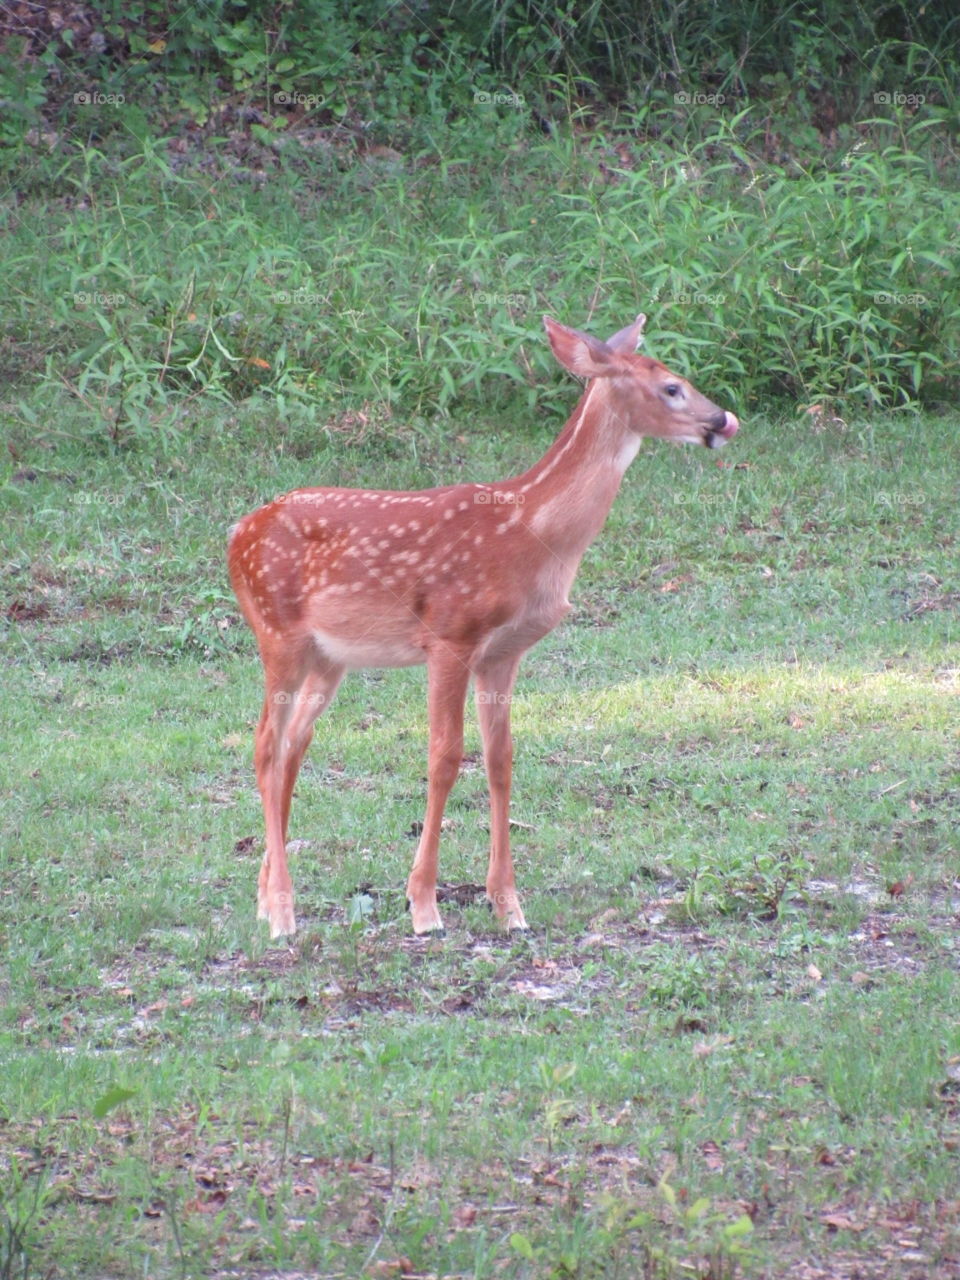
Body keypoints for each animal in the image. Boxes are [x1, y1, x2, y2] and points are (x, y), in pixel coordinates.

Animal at [228, 313, 739, 939]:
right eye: (671, 387)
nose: (723, 420)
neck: (530, 531)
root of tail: (236, 533)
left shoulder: (504, 652)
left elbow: (501, 760)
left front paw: (508, 906)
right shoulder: (451, 634)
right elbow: (445, 757)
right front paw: (424, 907)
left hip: (331, 657)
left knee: (293, 747)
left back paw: (264, 898)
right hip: (276, 630)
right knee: (264, 748)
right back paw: (282, 911)